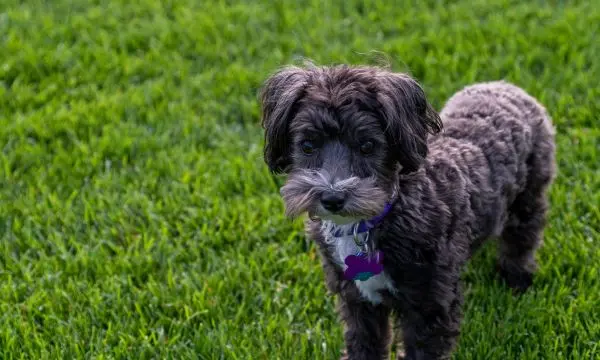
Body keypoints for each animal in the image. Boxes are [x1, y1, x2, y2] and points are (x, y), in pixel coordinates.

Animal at [260, 63, 556, 358]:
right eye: (307, 145)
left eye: (367, 146)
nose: (332, 197)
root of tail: (506, 87)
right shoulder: (357, 299)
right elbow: (363, 342)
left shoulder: (429, 303)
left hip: (529, 195)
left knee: (522, 238)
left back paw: (516, 279)